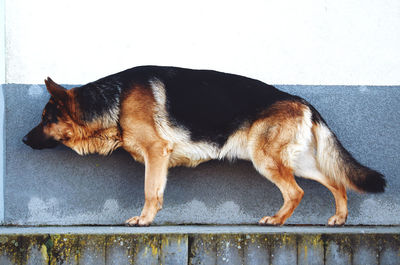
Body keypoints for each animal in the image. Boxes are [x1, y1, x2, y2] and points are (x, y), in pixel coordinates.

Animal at [23, 65, 386, 225]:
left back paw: (277, 220)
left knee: (296, 192)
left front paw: (144, 220)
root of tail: (301, 99)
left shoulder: (156, 153)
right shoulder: (159, 159)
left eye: (45, 118)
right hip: (297, 161)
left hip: (267, 159)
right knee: (337, 182)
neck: (114, 101)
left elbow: (149, 191)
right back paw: (339, 218)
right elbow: (157, 193)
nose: (23, 140)